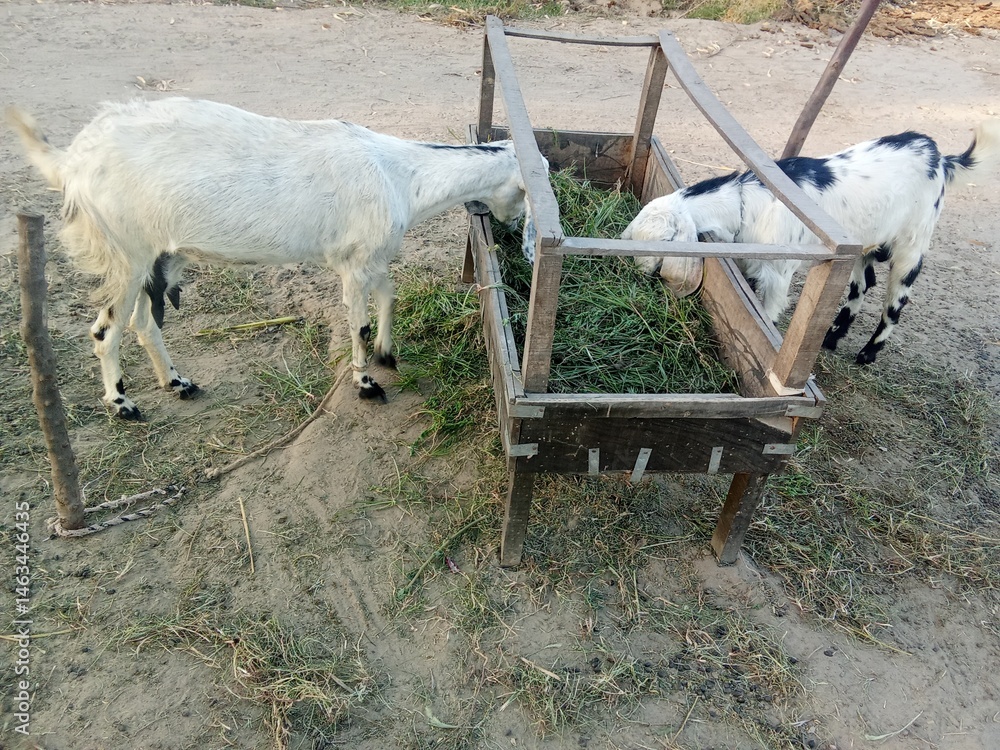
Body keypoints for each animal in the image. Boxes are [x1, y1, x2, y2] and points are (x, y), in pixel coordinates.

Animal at [7, 97, 532, 419]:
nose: (512, 231)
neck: (402, 174)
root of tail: (72, 161)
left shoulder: (374, 257)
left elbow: (390, 297)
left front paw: (387, 355)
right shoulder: (353, 262)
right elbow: (359, 325)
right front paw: (367, 385)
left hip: (158, 256)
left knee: (143, 322)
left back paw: (177, 383)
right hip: (126, 253)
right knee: (104, 331)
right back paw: (123, 405)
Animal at [625, 121, 1000, 364]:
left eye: (661, 242)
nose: (637, 273)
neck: (748, 204)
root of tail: (940, 156)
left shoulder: (776, 277)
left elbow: (766, 314)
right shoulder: (749, 263)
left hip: (913, 242)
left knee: (895, 302)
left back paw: (867, 354)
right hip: (861, 244)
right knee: (863, 284)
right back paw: (832, 337)